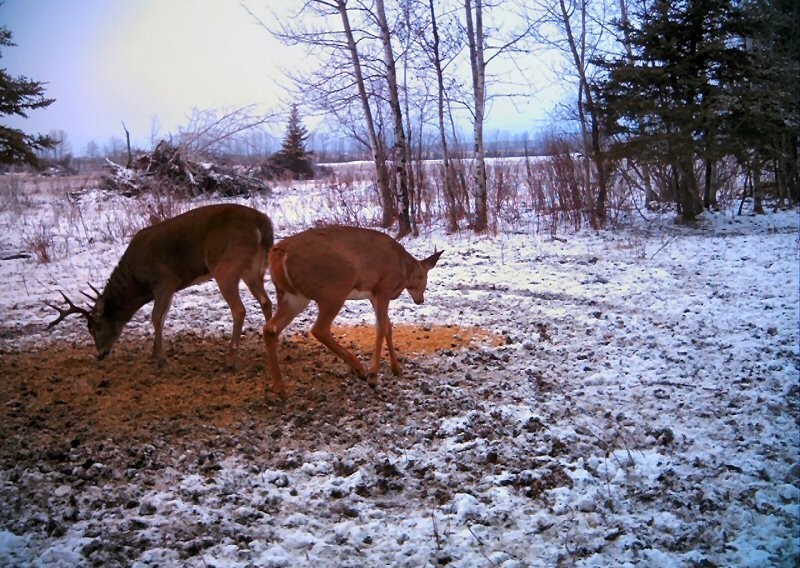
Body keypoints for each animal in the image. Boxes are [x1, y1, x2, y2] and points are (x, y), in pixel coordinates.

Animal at [50, 202, 276, 366]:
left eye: (94, 329)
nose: (100, 354)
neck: (137, 282)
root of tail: (261, 224)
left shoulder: (165, 280)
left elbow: (156, 317)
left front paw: (159, 357)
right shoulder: (168, 287)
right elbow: (163, 316)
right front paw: (155, 353)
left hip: (226, 267)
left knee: (239, 309)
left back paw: (230, 359)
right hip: (254, 269)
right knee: (266, 301)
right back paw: (271, 342)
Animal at [262, 225, 440, 400]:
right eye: (423, 278)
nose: (420, 300)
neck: (403, 269)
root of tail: (278, 253)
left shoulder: (373, 295)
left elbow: (387, 326)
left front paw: (396, 369)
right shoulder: (383, 287)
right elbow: (381, 327)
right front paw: (374, 376)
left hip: (293, 296)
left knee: (270, 329)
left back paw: (280, 389)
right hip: (335, 287)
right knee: (319, 329)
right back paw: (359, 369)